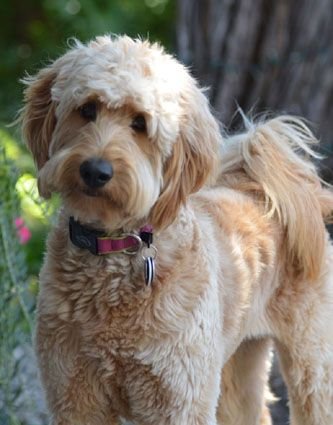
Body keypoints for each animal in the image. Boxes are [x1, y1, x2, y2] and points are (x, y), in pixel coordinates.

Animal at [20, 36, 332, 424]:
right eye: (87, 109)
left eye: (140, 123)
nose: (95, 170)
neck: (115, 247)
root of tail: (260, 191)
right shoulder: (75, 397)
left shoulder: (180, 398)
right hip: (238, 367)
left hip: (312, 361)